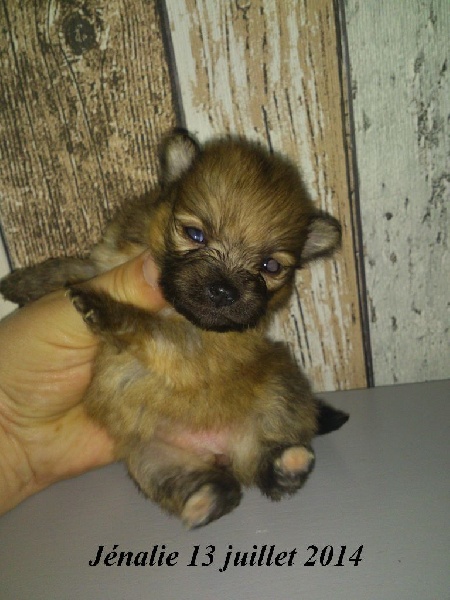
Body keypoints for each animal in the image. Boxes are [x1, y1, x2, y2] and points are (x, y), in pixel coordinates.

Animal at [0, 130, 348, 528]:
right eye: (195, 234)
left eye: (270, 266)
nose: (224, 290)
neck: (179, 313)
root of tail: (221, 450)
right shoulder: (105, 261)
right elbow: (72, 268)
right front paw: (23, 283)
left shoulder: (195, 346)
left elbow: (145, 326)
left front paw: (101, 308)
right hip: (151, 458)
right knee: (213, 489)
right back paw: (204, 499)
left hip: (280, 393)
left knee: (268, 461)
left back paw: (288, 464)